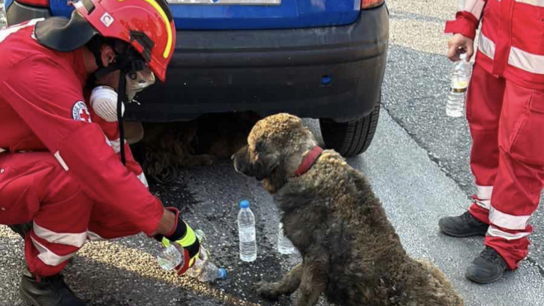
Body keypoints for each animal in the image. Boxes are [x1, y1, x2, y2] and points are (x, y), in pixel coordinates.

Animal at [232, 114, 466, 306]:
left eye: (250, 144)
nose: (233, 158)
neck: (306, 167)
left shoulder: (316, 263)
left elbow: (303, 290)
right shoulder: (312, 258)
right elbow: (292, 275)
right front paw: (273, 289)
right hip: (430, 266)